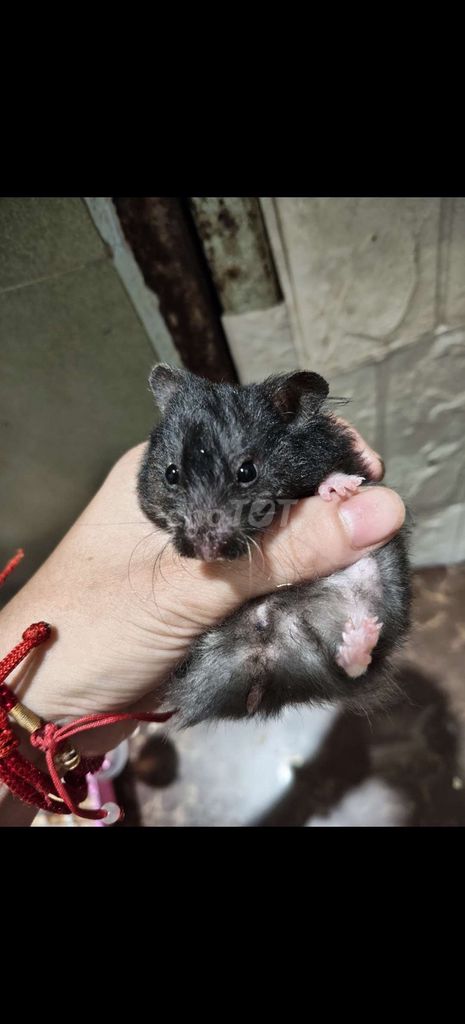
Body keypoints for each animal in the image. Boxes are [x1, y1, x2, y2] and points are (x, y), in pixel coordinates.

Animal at [138, 364, 411, 727]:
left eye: (247, 471)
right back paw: (357, 642)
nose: (205, 550)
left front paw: (340, 488)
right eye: (171, 473)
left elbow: (338, 473)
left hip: (379, 593)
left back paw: (359, 637)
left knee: (351, 670)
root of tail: (267, 650)